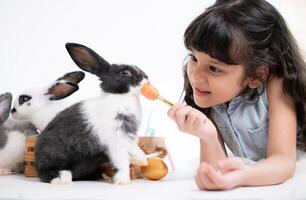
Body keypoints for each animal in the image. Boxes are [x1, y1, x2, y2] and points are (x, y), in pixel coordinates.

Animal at [35, 43, 149, 185]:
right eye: (125, 72)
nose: (146, 79)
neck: (119, 98)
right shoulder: (116, 142)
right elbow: (121, 161)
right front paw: (122, 180)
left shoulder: (129, 139)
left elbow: (135, 150)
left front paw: (144, 161)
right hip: (53, 154)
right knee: (46, 172)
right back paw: (62, 179)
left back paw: (101, 176)